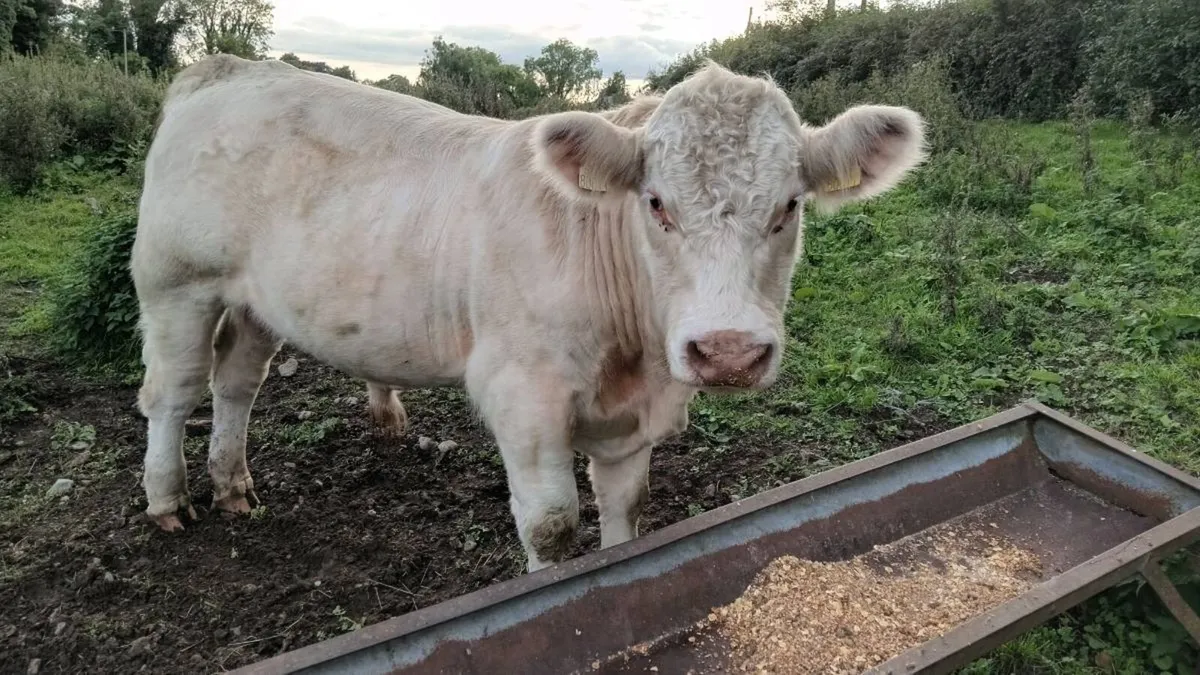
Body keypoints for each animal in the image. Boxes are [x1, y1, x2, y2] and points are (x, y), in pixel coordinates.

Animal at [131, 54, 926, 572]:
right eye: (657, 203)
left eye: (789, 206)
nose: (727, 349)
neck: (631, 357)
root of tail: (224, 69)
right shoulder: (522, 395)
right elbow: (549, 527)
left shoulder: (632, 419)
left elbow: (627, 510)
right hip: (176, 283)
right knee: (172, 391)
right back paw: (168, 499)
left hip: (254, 300)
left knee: (237, 382)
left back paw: (233, 486)